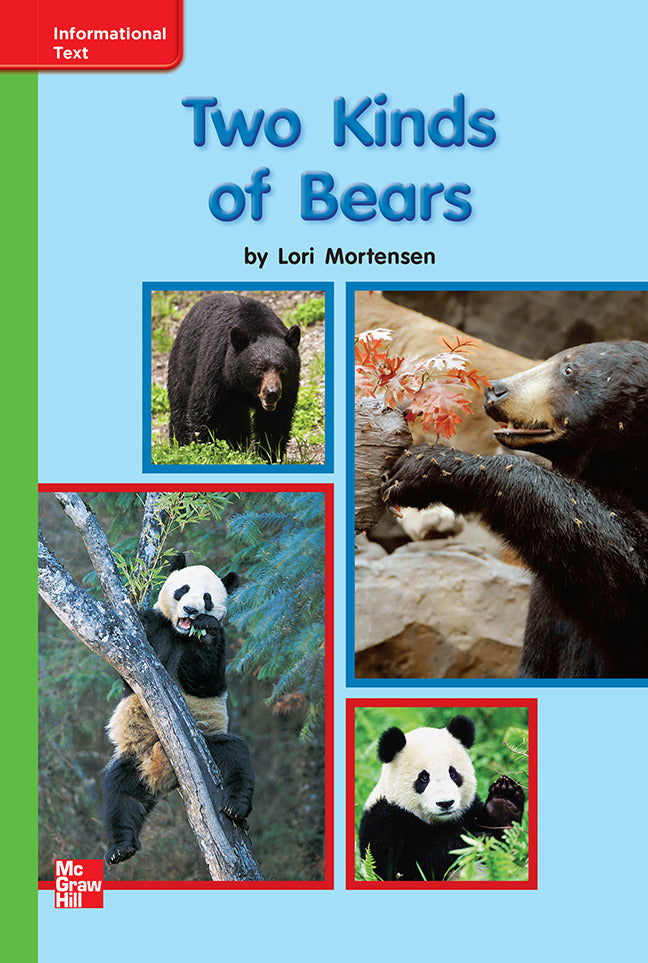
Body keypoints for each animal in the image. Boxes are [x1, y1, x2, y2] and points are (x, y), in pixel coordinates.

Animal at [167, 293, 301, 463]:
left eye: (282, 368)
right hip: (183, 363)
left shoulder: (288, 389)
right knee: (180, 407)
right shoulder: (216, 371)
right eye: (259, 369)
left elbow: (274, 423)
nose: (272, 393)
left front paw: (269, 456)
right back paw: (180, 446)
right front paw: (204, 452)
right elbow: (204, 413)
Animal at [359, 716, 525, 881]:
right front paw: (472, 840)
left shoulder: (470, 810)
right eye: (424, 778)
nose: (445, 803)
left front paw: (503, 803)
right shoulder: (383, 820)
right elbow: (400, 865)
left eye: (453, 773)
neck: (439, 822)